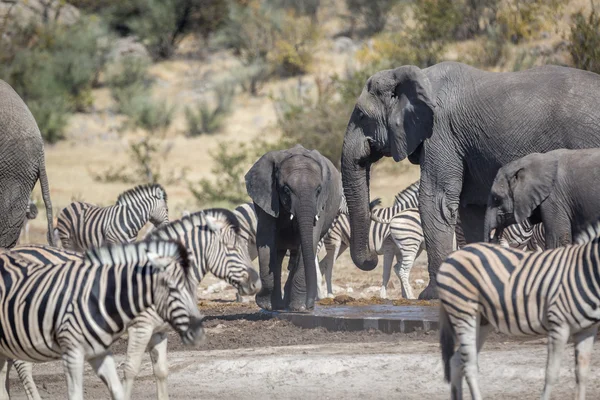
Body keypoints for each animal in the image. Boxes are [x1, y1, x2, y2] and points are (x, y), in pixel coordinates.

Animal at [0, 241, 203, 400]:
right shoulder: (141, 326)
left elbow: (161, 371)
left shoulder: (159, 331)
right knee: (22, 365)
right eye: (172, 288)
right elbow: (130, 369)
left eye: (191, 287)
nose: (197, 331)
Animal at [245, 145, 342, 312]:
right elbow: (266, 242)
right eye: (286, 190)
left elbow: (310, 241)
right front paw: (266, 305)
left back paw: (288, 304)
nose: (310, 305)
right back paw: (279, 305)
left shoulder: (320, 204)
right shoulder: (268, 199)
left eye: (318, 190)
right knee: (278, 254)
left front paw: (299, 308)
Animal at [340, 61, 600, 298]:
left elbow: (435, 201)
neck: (415, 75)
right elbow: (470, 211)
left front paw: (431, 295)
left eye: (362, 116)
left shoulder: (441, 133)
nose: (372, 258)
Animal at [438, 219, 600, 400]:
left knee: (456, 361)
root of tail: (453, 255)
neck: (585, 272)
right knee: (469, 365)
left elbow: (582, 373)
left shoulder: (587, 329)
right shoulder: (559, 325)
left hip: (481, 321)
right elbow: (551, 373)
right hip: (463, 313)